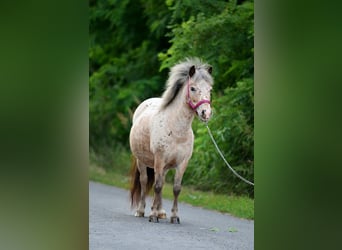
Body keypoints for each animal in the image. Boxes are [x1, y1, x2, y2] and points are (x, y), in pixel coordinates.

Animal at [129, 58, 212, 223]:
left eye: (210, 89)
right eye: (193, 88)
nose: (206, 113)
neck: (176, 130)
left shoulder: (182, 163)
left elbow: (176, 188)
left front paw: (174, 216)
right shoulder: (159, 159)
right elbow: (157, 186)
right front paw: (152, 216)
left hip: (165, 166)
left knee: (160, 182)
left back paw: (160, 212)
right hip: (142, 161)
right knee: (144, 182)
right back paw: (141, 211)